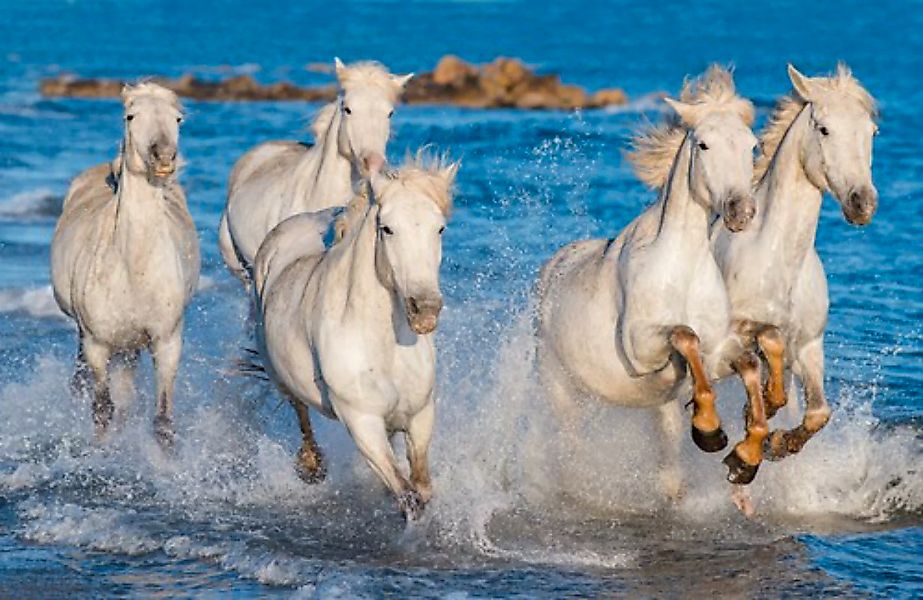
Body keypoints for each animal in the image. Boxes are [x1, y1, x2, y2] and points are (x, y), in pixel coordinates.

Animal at [52, 82, 200, 442]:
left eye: (178, 119)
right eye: (130, 116)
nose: (164, 158)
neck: (134, 268)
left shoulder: (167, 342)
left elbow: (162, 420)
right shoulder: (97, 344)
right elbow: (102, 409)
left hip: (131, 346)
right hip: (88, 338)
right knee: (83, 385)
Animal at [253, 152, 458, 516]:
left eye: (440, 227)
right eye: (387, 228)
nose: (425, 310)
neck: (382, 345)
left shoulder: (420, 416)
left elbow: (421, 486)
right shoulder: (362, 422)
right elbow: (407, 494)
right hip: (280, 376)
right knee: (299, 409)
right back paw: (311, 466)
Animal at [536, 65, 760, 500]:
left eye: (752, 146)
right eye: (704, 145)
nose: (740, 211)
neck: (682, 268)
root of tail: (553, 268)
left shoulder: (715, 352)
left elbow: (748, 363)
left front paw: (745, 459)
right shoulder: (640, 350)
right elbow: (684, 334)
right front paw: (709, 430)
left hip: (657, 411)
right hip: (560, 390)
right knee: (571, 448)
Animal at [716, 64, 880, 468]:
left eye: (871, 131)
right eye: (824, 129)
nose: (863, 203)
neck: (779, 262)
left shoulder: (808, 347)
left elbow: (817, 412)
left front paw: (776, 443)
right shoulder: (733, 337)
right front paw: (749, 448)